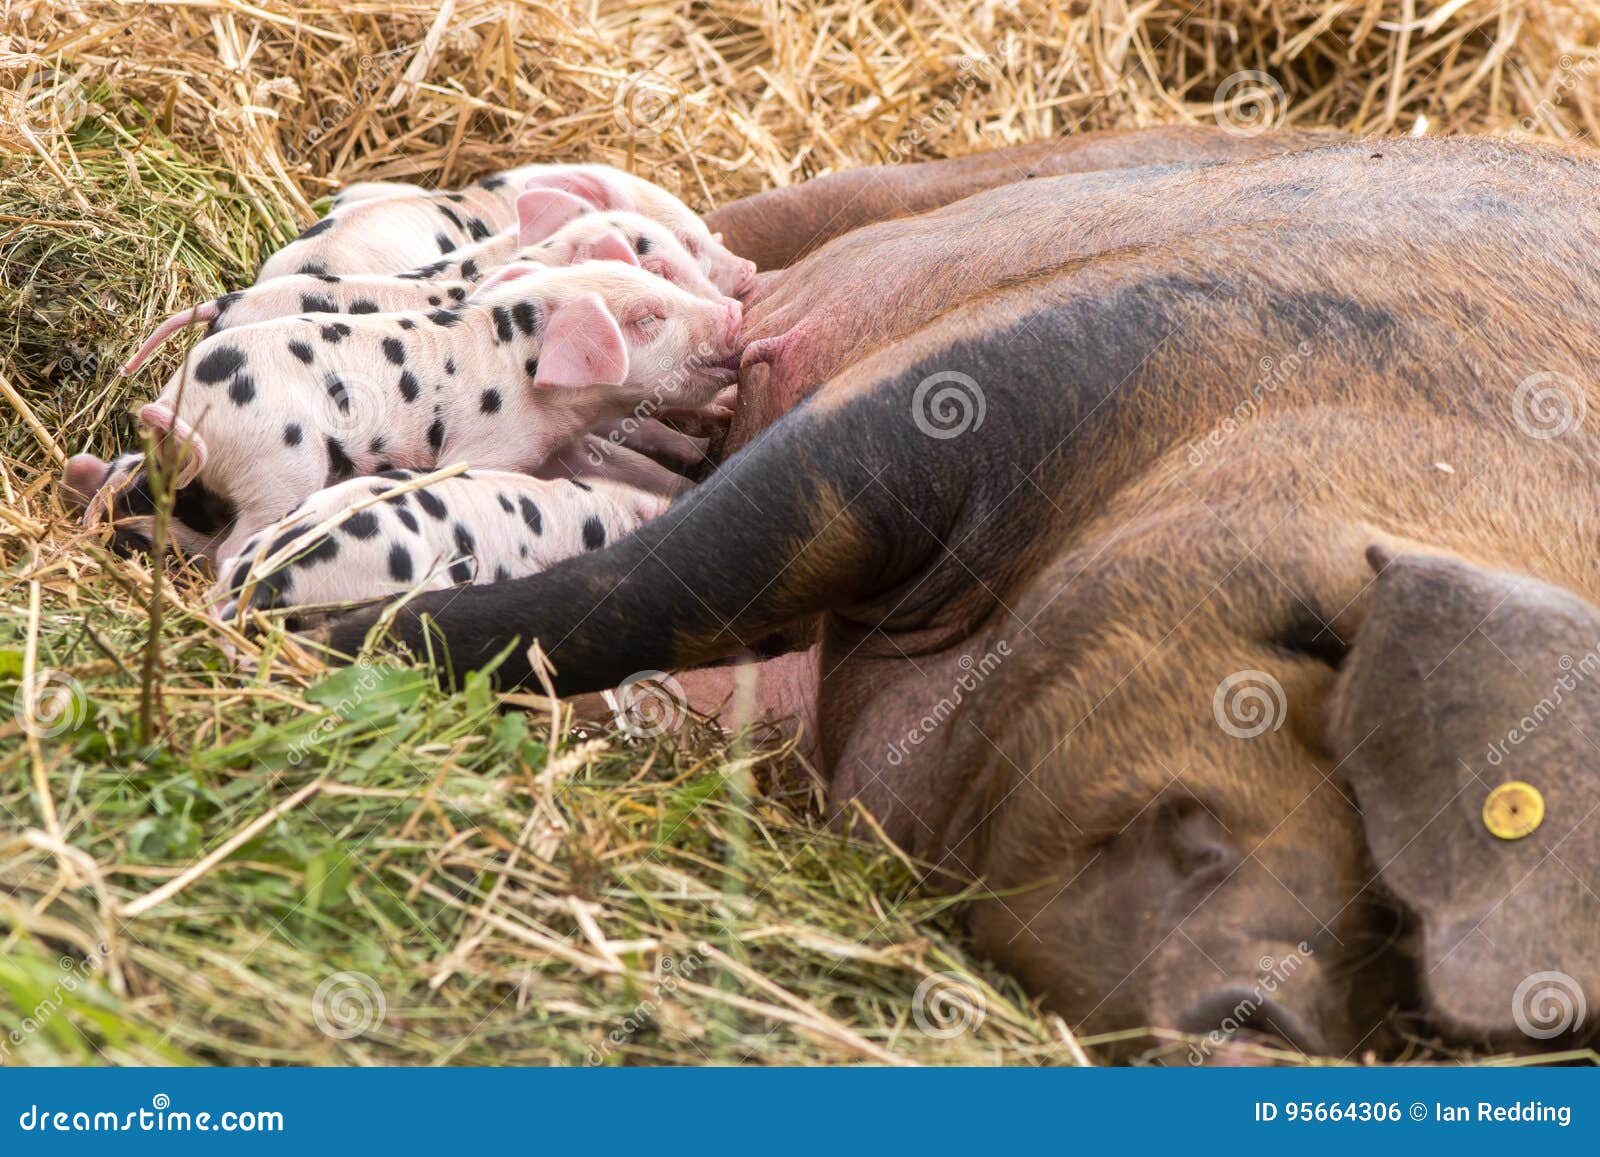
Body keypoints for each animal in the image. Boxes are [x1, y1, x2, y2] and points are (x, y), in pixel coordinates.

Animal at [324, 133, 1600, 1056]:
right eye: (1316, 645)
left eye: (1426, 1021)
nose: (1277, 1018)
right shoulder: (1021, 371)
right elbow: (663, 584)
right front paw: (333, 631)